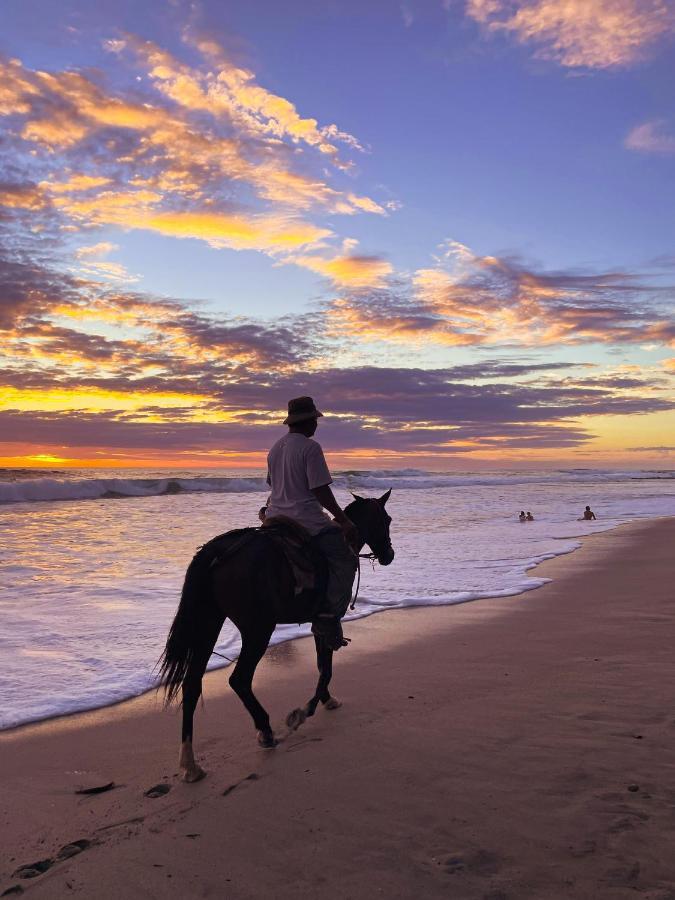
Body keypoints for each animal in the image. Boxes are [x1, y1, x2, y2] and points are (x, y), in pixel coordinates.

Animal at [158, 492, 394, 780]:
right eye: (386, 519)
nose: (389, 554)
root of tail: (217, 551)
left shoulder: (318, 622)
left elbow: (321, 665)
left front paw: (326, 699)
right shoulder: (328, 620)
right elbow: (326, 669)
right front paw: (304, 712)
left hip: (208, 623)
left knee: (192, 685)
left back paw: (190, 763)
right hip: (258, 629)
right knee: (239, 679)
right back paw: (266, 731)